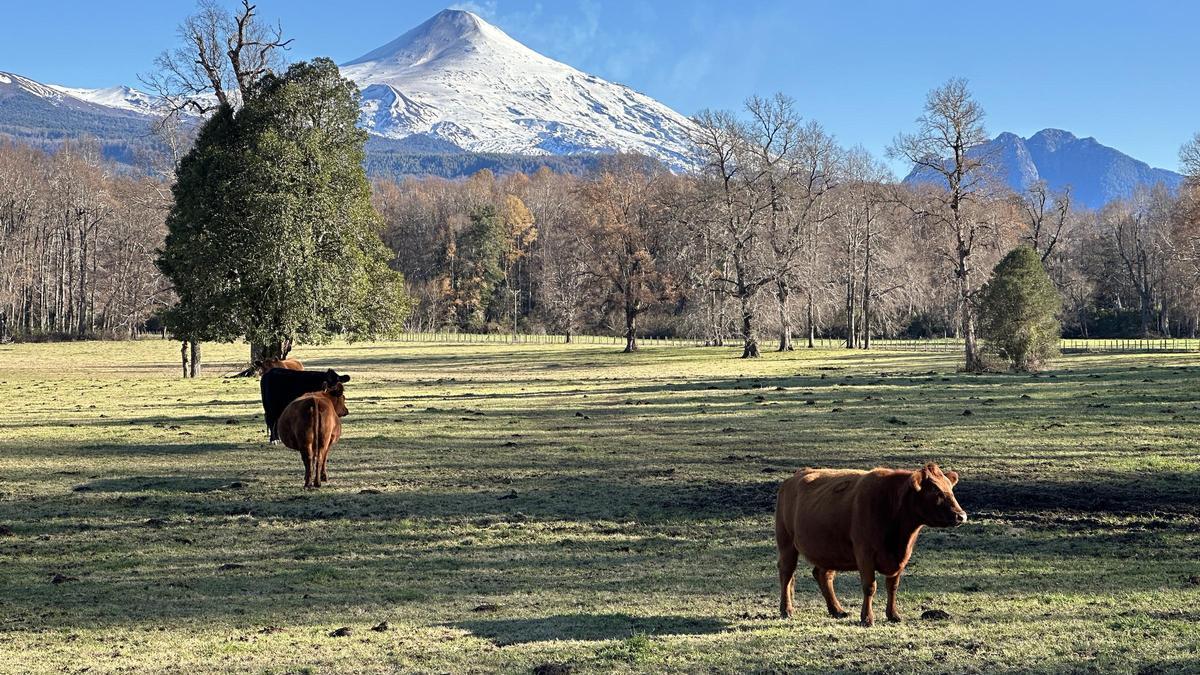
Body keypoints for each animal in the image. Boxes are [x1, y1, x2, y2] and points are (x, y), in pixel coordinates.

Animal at [772, 458, 969, 624]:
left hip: (829, 549)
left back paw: (837, 610)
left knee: (823, 574)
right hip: (786, 543)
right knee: (786, 572)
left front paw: (893, 615)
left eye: (950, 489)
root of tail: (793, 478)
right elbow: (869, 586)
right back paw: (786, 610)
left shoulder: (901, 557)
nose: (961, 516)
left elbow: (892, 586)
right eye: (936, 491)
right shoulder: (864, 553)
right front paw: (867, 618)